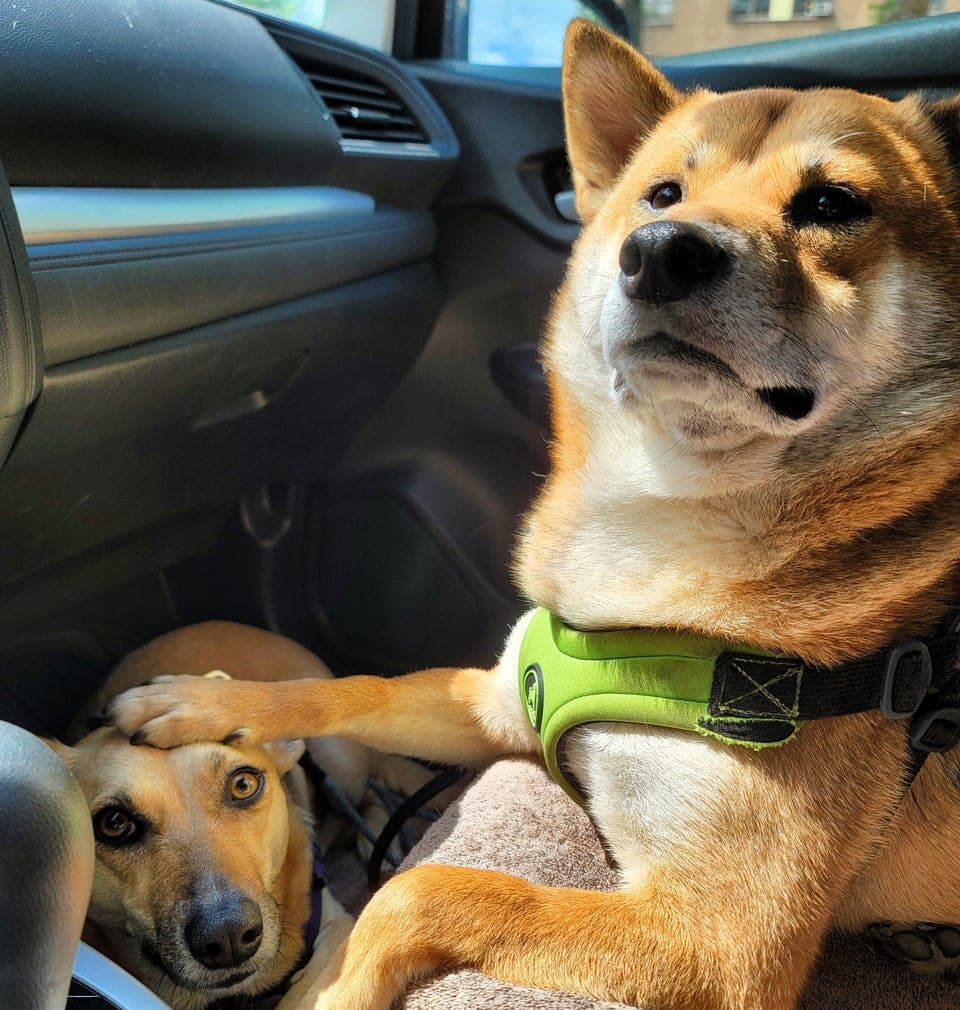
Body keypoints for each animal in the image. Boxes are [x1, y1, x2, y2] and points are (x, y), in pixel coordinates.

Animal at [106, 19, 960, 1010]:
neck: (653, 530)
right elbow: (356, 688)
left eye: (833, 202)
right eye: (661, 193)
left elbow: (426, 889)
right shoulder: (501, 699)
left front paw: (339, 988)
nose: (660, 250)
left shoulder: (721, 943)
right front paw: (200, 702)